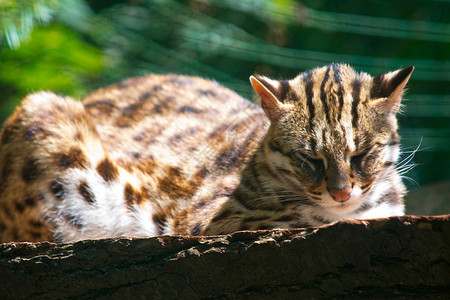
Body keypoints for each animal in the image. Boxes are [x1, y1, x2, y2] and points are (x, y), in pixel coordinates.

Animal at [0, 64, 414, 243]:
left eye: (362, 154)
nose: (341, 193)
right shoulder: (211, 220)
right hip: (45, 117)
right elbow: (302, 218)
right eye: (308, 159)